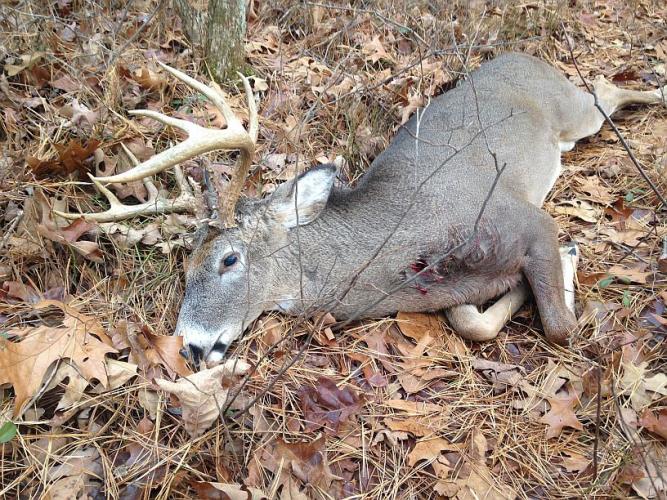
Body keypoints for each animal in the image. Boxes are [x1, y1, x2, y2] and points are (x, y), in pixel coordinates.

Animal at [57, 52, 666, 364]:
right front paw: (521, 289)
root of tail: (527, 52)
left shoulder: (522, 217)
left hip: (574, 112)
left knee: (607, 88)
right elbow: (474, 323)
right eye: (183, 267)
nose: (190, 347)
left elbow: (561, 327)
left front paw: (568, 259)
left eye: (228, 259)